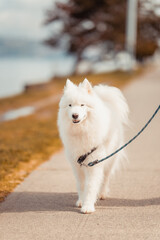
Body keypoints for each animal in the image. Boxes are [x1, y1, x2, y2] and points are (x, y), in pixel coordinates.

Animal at [57, 79, 129, 214]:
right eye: (70, 105)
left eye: (82, 105)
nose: (74, 115)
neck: (81, 131)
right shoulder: (77, 164)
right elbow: (81, 185)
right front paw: (81, 201)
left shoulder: (94, 163)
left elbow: (91, 186)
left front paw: (88, 206)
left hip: (110, 161)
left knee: (105, 178)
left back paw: (102, 194)